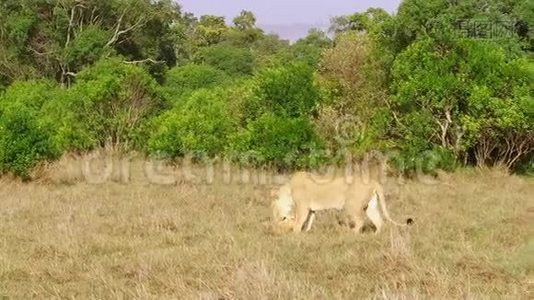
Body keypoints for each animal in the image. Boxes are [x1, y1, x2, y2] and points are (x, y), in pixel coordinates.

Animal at [272, 171, 414, 234]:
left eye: (279, 215)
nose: (276, 225)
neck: (289, 188)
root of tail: (374, 182)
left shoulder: (302, 206)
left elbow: (299, 221)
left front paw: (295, 234)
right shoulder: (311, 209)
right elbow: (309, 220)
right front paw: (306, 232)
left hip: (352, 205)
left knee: (360, 221)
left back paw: (351, 234)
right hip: (371, 205)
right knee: (379, 221)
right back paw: (375, 235)